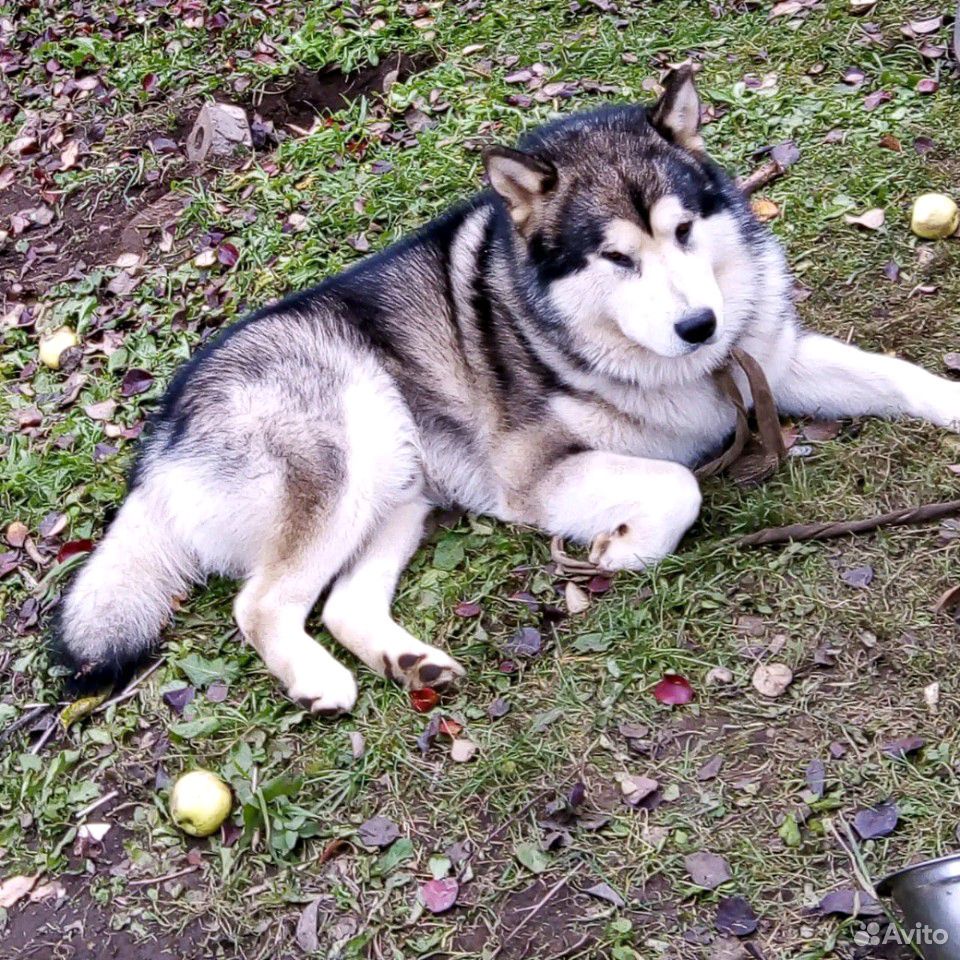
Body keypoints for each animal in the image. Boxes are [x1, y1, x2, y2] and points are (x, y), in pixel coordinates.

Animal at [52, 69, 960, 712]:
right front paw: (619, 548)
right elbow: (677, 485)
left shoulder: (774, 359)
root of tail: (161, 437)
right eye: (616, 257)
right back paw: (319, 679)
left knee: (341, 605)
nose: (700, 326)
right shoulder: (535, 476)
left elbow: (898, 374)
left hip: (402, 493)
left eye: (684, 230)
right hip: (353, 441)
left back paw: (407, 660)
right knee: (264, 603)